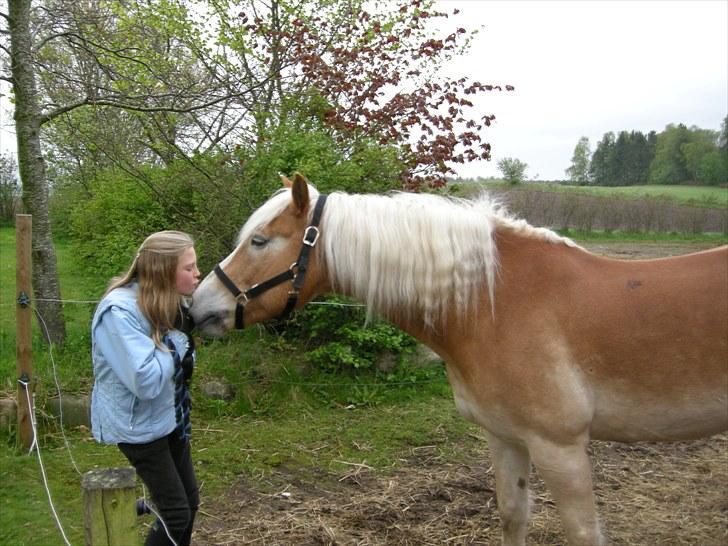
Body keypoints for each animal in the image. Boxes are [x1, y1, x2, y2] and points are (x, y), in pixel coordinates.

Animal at [191, 174, 724, 544]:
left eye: (259, 240)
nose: (198, 306)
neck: (495, 302)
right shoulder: (505, 437)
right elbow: (513, 516)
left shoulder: (562, 447)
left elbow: (582, 533)